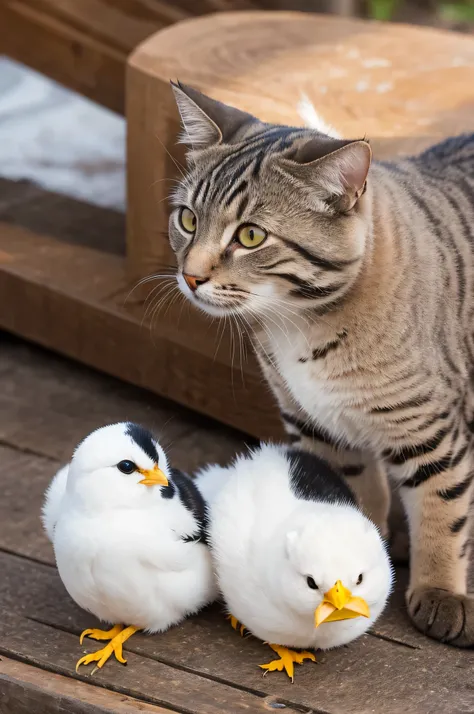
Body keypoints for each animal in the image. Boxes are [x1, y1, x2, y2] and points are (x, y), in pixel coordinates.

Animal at [167, 80, 474, 644]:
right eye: (188, 219)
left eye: (250, 236)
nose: (191, 276)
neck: (300, 325)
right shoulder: (321, 427)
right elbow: (351, 496)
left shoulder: (431, 429)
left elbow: (443, 512)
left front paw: (442, 592)